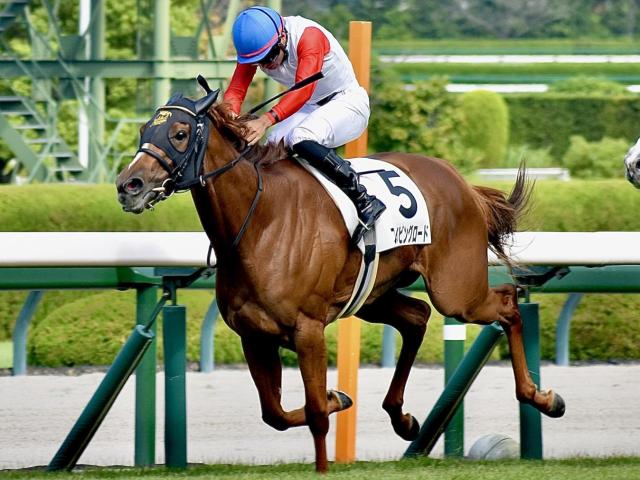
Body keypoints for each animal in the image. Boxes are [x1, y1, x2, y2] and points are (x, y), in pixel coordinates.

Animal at [116, 87, 565, 472]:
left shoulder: (308, 330)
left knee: (506, 303)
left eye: (179, 133)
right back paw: (402, 417)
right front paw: (338, 396)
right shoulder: (254, 335)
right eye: (143, 130)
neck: (260, 221)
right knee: (417, 318)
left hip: (456, 291)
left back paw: (542, 397)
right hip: (374, 296)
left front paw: (322, 461)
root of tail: (460, 181)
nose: (128, 185)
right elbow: (275, 413)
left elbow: (314, 411)